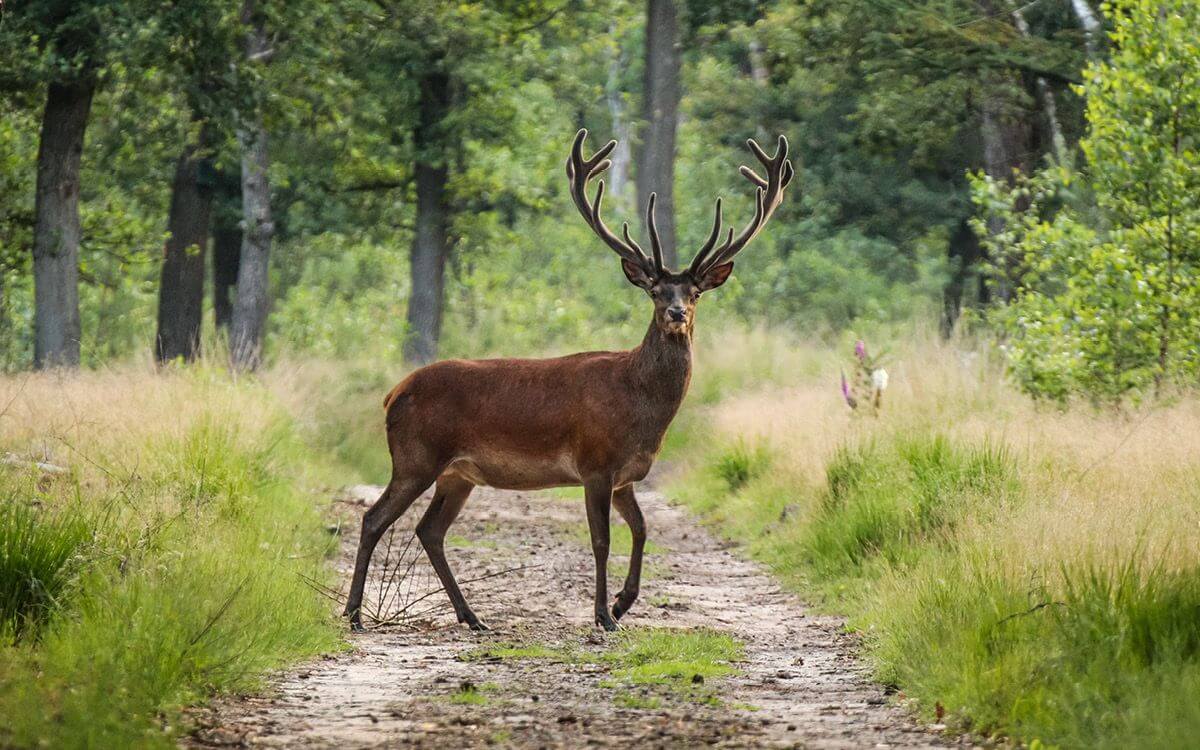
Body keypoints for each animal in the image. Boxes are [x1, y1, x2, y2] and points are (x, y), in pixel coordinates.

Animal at [343, 129, 794, 632]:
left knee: (429, 529)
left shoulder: (626, 475)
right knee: (374, 519)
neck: (641, 409)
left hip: (457, 473)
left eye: (694, 292)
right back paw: (355, 613)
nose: (676, 313)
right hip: (416, 456)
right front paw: (603, 615)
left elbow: (642, 530)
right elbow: (602, 541)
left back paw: (472, 616)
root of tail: (393, 394)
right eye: (656, 291)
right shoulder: (595, 463)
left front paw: (622, 603)